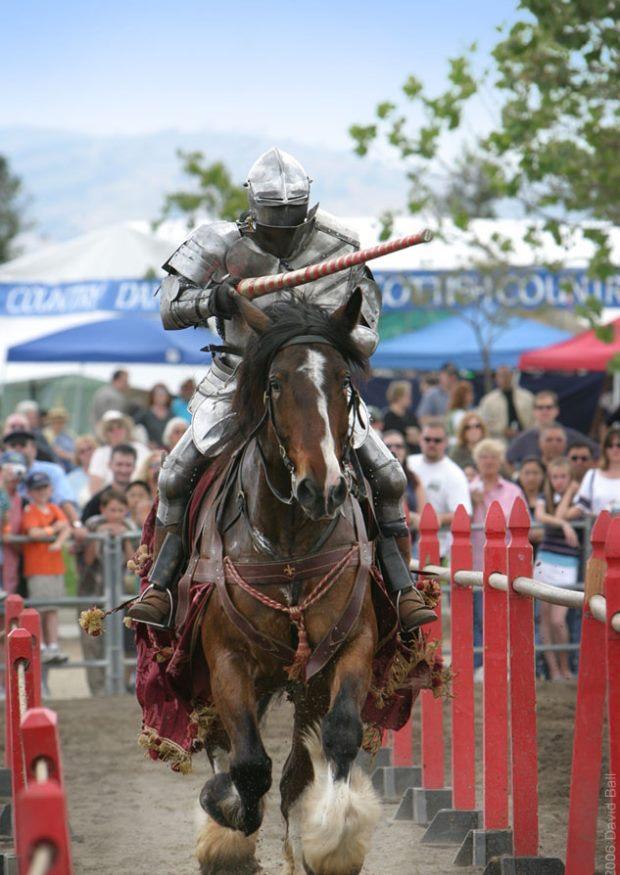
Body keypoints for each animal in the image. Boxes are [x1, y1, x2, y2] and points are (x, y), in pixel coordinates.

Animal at [195, 292, 382, 875]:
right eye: (275, 383)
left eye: (343, 381)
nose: (322, 489)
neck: (290, 551)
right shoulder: (226, 659)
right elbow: (249, 764)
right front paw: (226, 819)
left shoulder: (350, 646)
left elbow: (340, 736)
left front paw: (333, 842)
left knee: (297, 770)